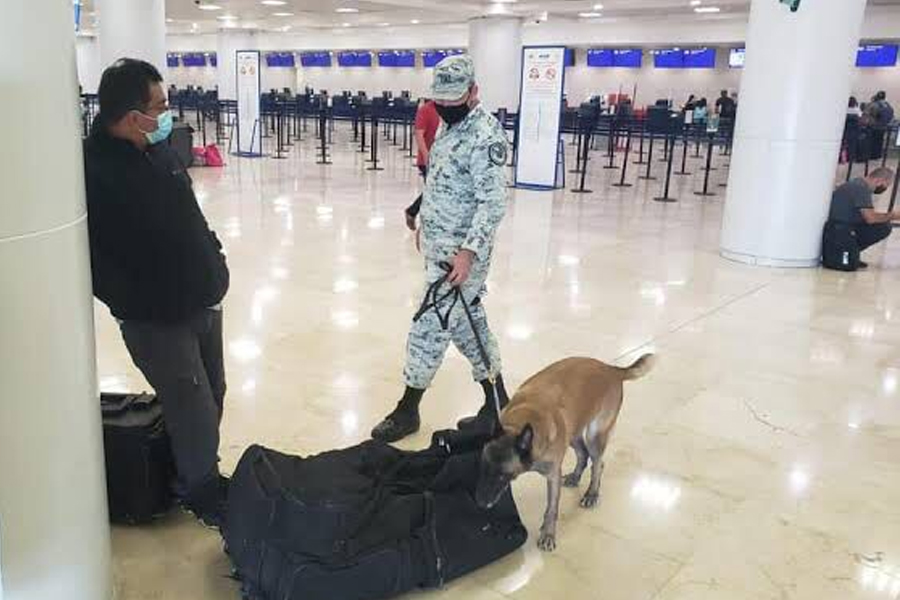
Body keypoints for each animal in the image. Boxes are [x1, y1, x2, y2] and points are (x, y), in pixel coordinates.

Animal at [472, 354, 652, 552]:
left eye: (503, 476)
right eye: (483, 468)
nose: (480, 503)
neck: (524, 422)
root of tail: (611, 369)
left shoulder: (552, 476)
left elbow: (551, 509)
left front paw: (548, 534)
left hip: (594, 436)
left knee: (597, 463)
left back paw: (592, 493)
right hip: (574, 432)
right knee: (583, 455)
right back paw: (575, 477)